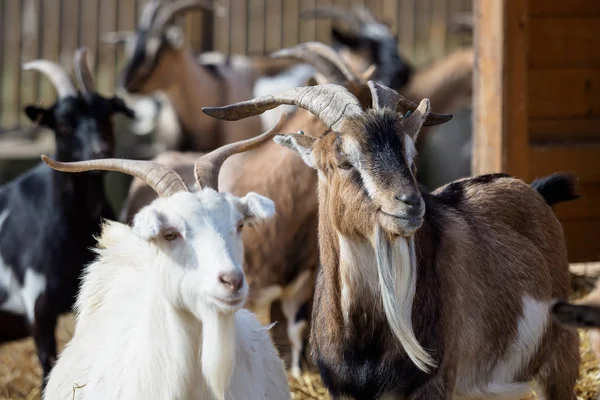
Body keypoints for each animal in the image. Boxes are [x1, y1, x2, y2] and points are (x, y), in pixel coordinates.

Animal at [205, 82, 580, 400]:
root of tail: (531, 190)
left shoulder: (432, 386)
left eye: (410, 157)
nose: (410, 203)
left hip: (559, 360)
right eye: (344, 161)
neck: (364, 338)